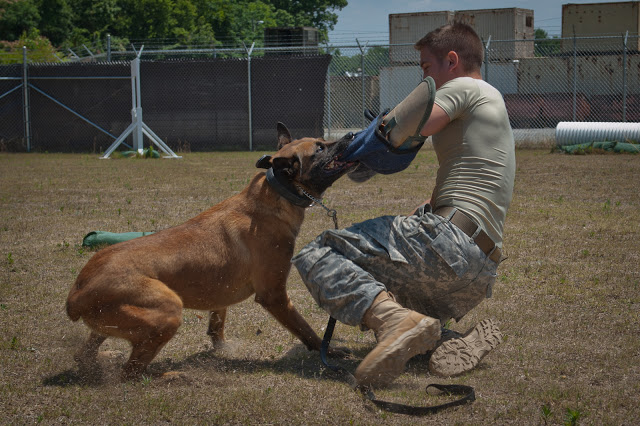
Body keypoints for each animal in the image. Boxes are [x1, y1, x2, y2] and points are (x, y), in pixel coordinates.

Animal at [67, 124, 358, 380]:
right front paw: (328, 350)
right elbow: (305, 329)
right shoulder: (274, 295)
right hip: (169, 309)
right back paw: (170, 376)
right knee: (130, 374)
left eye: (322, 140)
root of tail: (76, 294)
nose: (352, 135)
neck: (276, 194)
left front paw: (222, 348)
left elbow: (217, 322)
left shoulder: (222, 289)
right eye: (320, 148)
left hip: (111, 321)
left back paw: (104, 357)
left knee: (84, 355)